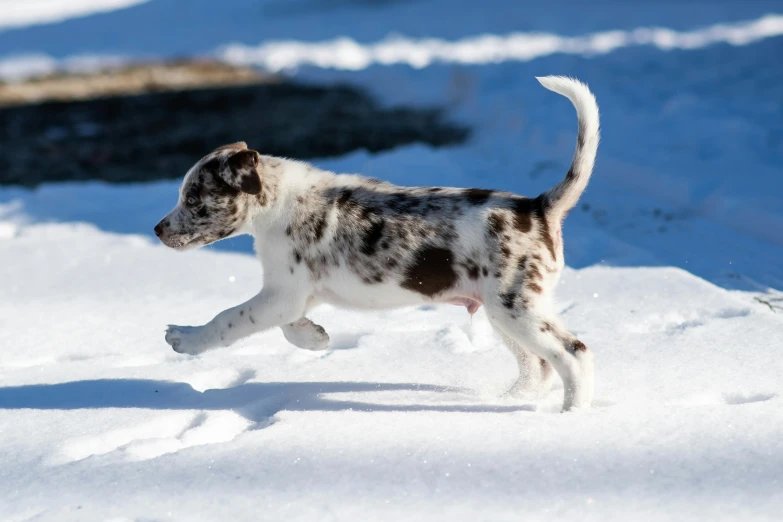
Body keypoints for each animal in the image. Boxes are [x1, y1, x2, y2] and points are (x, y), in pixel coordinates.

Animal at [156, 76, 604, 410]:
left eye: (192, 199)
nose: (158, 230)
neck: (277, 201)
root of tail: (538, 206)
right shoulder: (292, 295)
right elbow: (287, 325)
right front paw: (314, 338)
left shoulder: (281, 293)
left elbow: (229, 319)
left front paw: (186, 338)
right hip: (505, 312)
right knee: (539, 365)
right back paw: (511, 402)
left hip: (517, 309)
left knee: (574, 354)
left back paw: (570, 415)